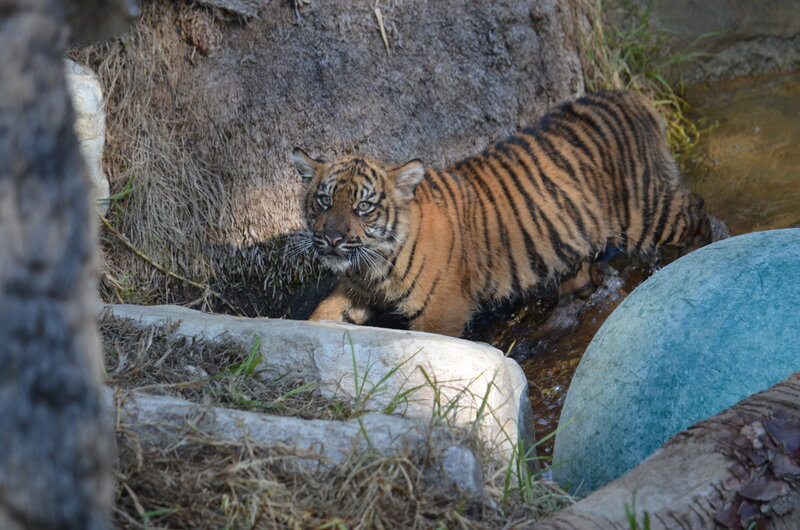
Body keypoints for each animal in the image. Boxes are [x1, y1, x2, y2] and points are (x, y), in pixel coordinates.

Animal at [292, 91, 713, 337]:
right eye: (324, 201)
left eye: (364, 206)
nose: (331, 239)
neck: (376, 264)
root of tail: (629, 94)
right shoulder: (357, 287)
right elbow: (325, 312)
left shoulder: (442, 309)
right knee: (581, 282)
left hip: (643, 212)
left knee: (696, 211)